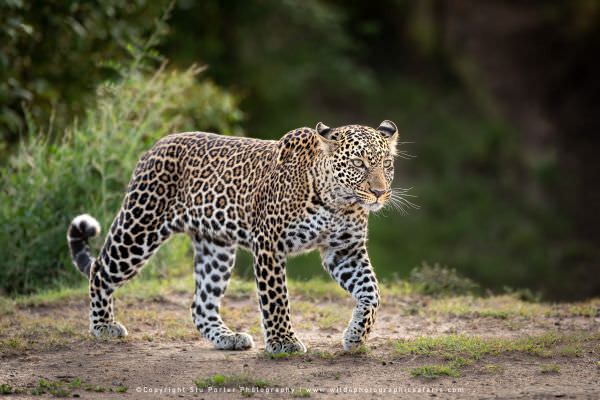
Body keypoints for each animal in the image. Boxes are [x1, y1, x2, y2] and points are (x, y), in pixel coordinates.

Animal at [68, 119, 400, 354]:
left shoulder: (345, 250)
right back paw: (104, 326)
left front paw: (356, 335)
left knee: (201, 303)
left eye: (386, 164)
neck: (338, 202)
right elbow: (276, 298)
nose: (379, 192)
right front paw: (283, 342)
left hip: (216, 247)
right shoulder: (269, 243)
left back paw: (227, 338)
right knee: (100, 270)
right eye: (358, 163)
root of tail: (156, 146)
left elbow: (372, 292)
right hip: (140, 228)